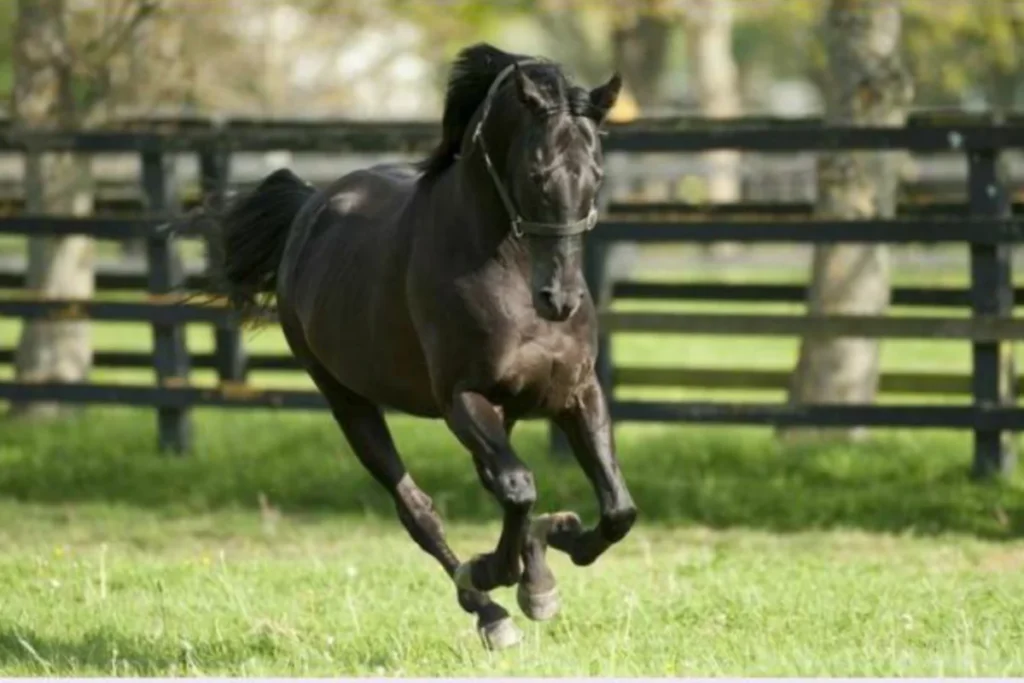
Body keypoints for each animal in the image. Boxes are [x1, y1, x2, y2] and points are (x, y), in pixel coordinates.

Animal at [211, 43, 637, 651]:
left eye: (596, 176)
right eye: (537, 174)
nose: (560, 299)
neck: (506, 268)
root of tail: (309, 208)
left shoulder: (575, 393)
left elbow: (616, 508)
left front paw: (559, 543)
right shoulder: (462, 400)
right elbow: (518, 488)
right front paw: (500, 573)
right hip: (348, 402)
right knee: (418, 511)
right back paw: (490, 610)